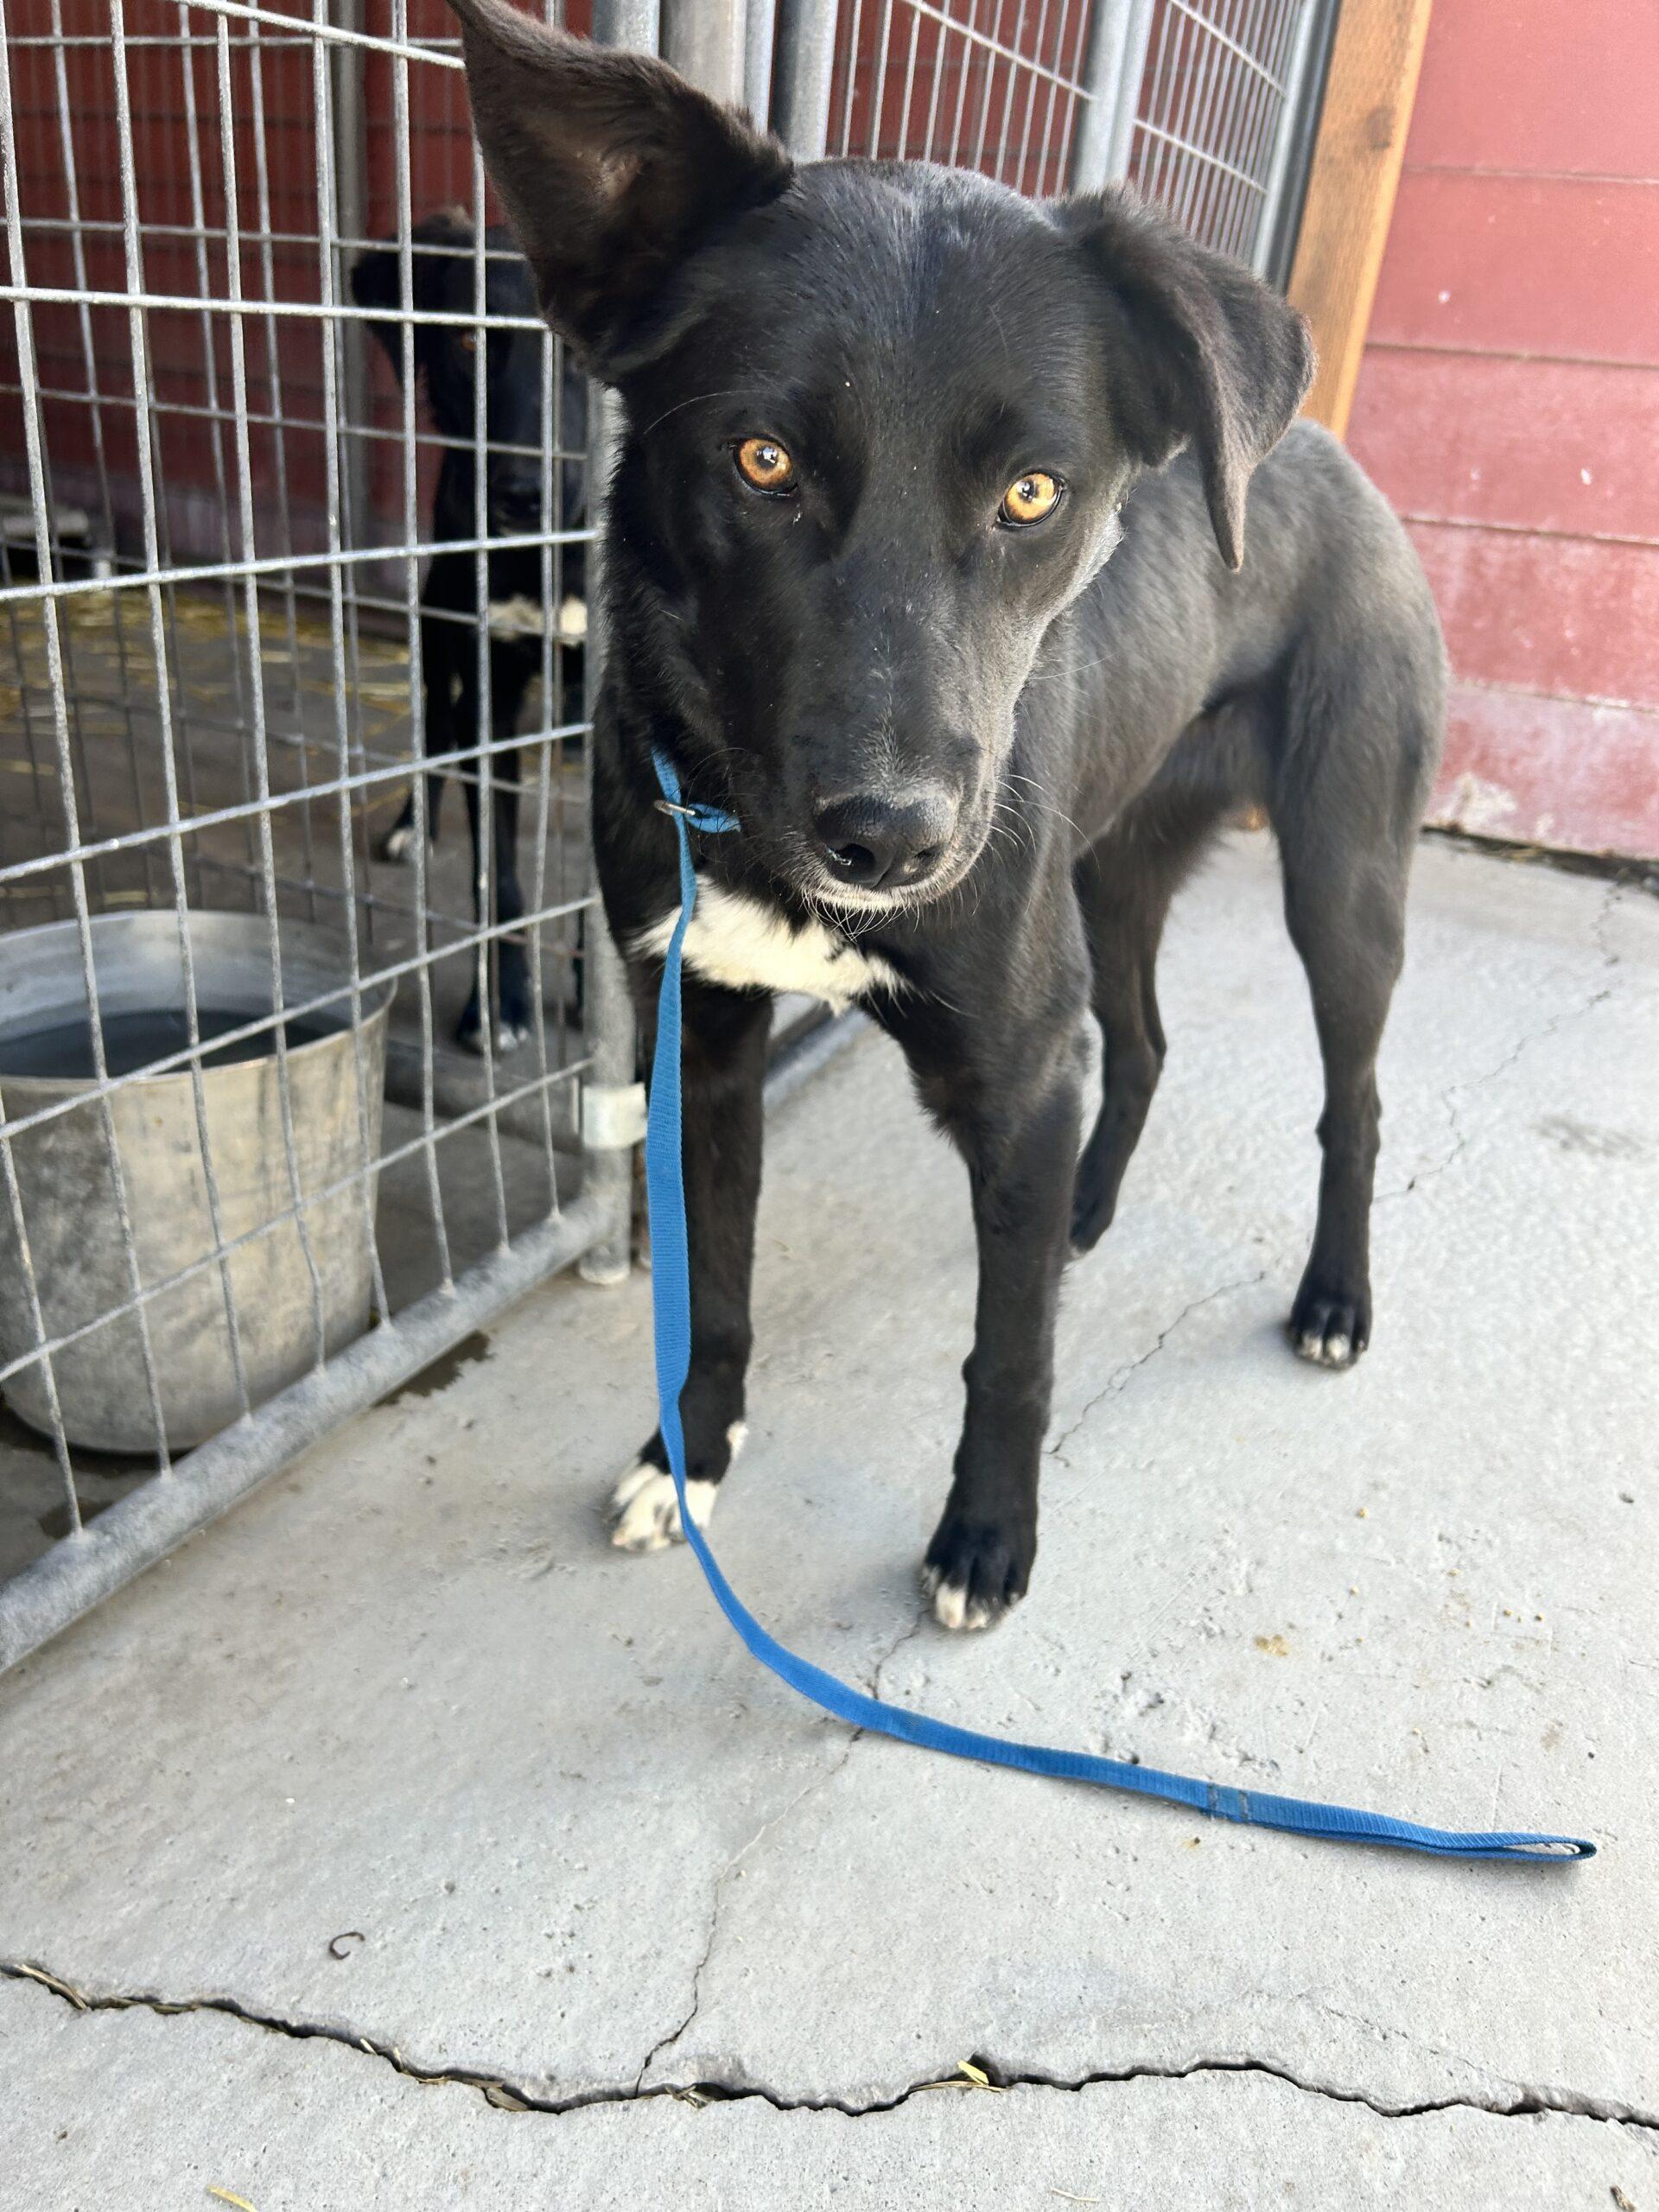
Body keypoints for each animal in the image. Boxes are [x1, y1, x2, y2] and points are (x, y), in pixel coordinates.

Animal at [353, 211, 588, 1048]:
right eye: (465, 342)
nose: (522, 494)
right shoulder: (490, 696)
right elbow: (503, 879)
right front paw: (500, 1005)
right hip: (435, 640)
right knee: (435, 730)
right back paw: (411, 827)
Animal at [448, 4, 1451, 1628]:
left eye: (1037, 492)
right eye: (764, 460)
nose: (891, 840)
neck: (764, 844)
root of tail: (1328, 453)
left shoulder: (1012, 1063)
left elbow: (1011, 1354)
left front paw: (988, 1537)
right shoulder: (704, 1040)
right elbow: (714, 1294)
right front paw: (691, 1461)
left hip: (1343, 875)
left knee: (1350, 1100)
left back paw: (1335, 1298)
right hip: (1108, 875)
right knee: (1141, 1039)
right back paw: (1086, 1214)